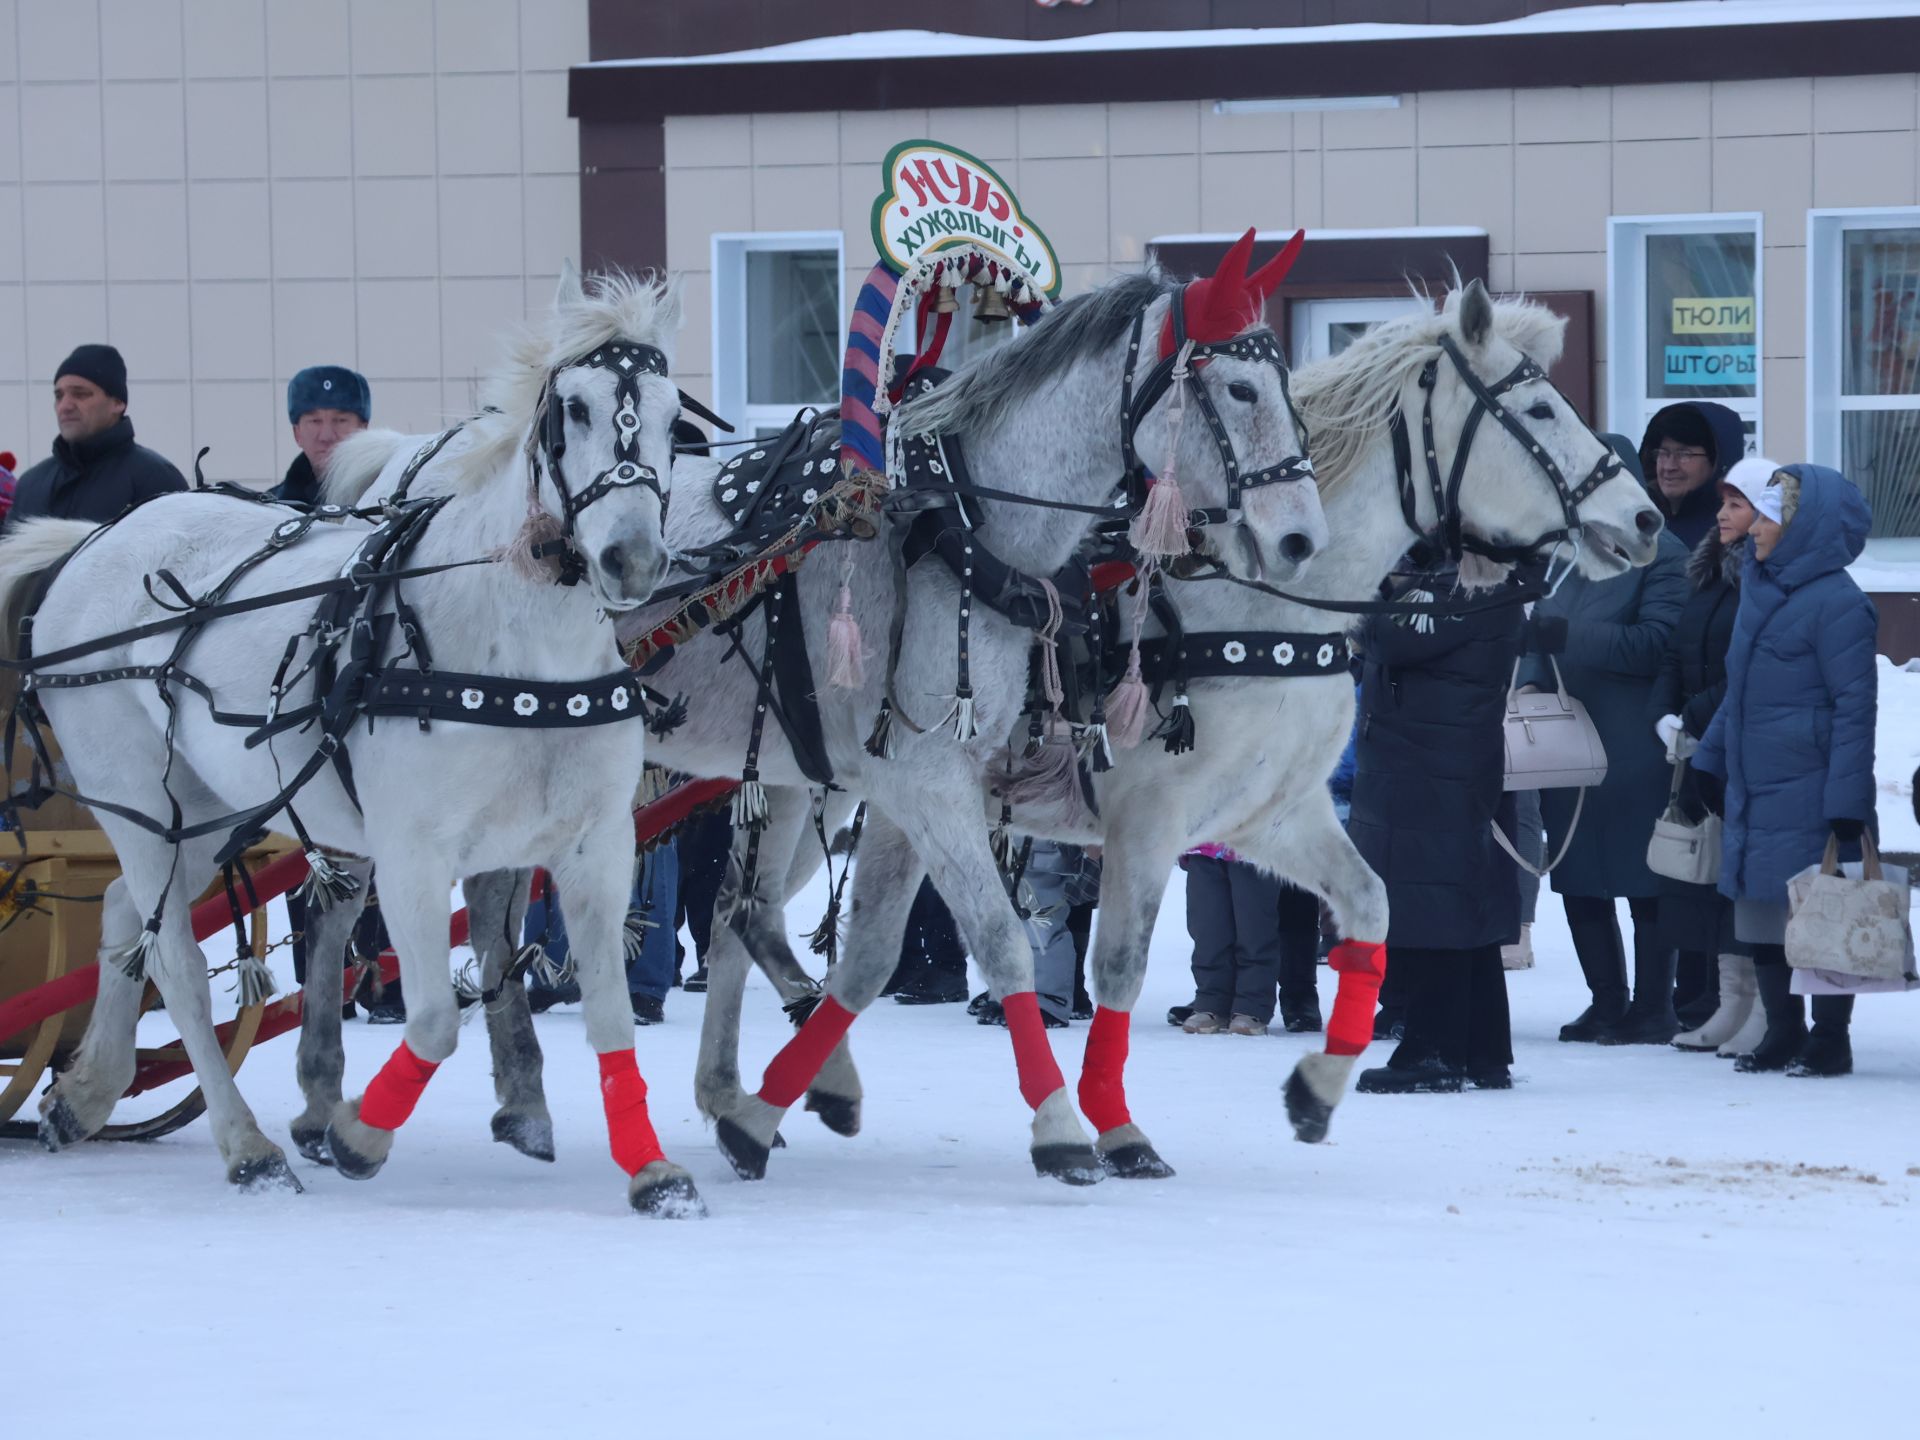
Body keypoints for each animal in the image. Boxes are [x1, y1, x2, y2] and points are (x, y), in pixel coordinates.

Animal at [0, 272, 691, 1221]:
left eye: (672, 416)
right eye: (574, 408)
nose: (630, 558)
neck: (521, 652)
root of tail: (96, 541)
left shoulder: (596, 847)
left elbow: (610, 1016)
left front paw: (654, 1170)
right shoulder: (411, 853)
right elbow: (433, 1020)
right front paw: (357, 1133)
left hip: (211, 808)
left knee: (117, 914)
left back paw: (88, 1090)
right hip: (138, 799)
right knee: (173, 958)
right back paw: (247, 1147)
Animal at [318, 247, 1336, 1190]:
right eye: (1239, 387)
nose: (1300, 538)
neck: (960, 521)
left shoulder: (918, 779)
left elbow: (864, 940)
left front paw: (778, 1097)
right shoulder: (923, 780)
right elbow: (998, 938)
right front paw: (1059, 1131)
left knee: (643, 909)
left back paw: (553, 1099)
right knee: (395, 910)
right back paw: (359, 1099)